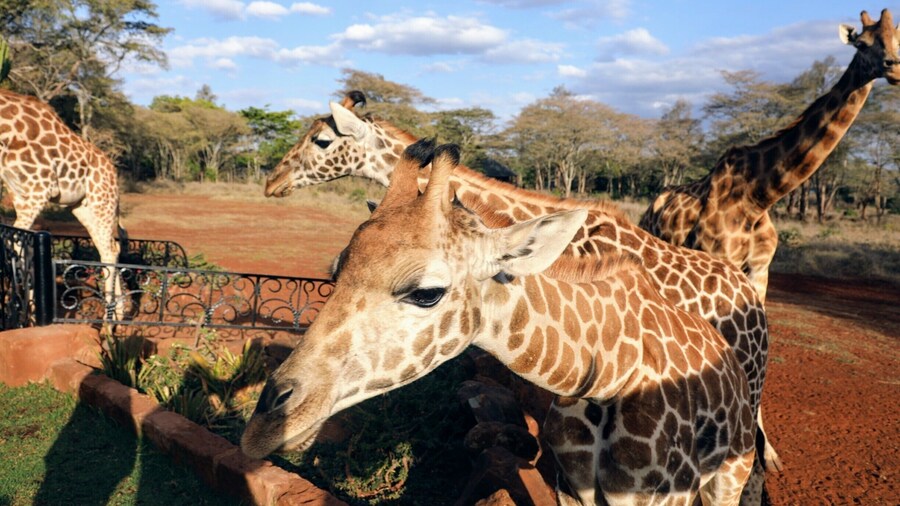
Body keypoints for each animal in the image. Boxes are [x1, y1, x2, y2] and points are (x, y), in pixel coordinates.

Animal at [0, 88, 124, 309]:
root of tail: (113, 172)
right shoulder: (18, 193)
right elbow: (20, 242)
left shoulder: (39, 190)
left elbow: (19, 243)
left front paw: (31, 307)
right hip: (83, 207)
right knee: (110, 247)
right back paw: (119, 311)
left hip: (102, 202)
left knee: (109, 250)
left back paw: (108, 318)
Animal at [639, 8, 900, 304]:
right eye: (862, 44)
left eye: (897, 42)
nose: (894, 68)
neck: (759, 197)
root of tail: (651, 206)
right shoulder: (718, 260)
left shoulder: (760, 270)